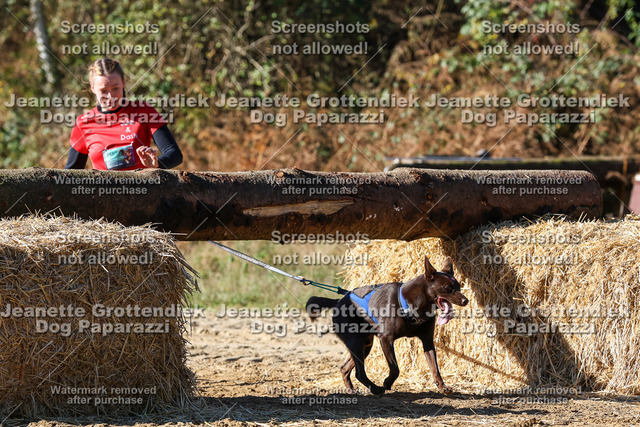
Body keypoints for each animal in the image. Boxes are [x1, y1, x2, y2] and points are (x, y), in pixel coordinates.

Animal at [306, 255, 468, 395]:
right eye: (448, 288)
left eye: (459, 286)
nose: (465, 300)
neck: (413, 304)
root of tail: (338, 302)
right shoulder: (385, 338)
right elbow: (395, 368)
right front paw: (387, 383)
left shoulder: (427, 340)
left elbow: (435, 367)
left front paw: (442, 386)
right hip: (355, 341)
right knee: (359, 372)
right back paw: (375, 389)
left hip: (365, 344)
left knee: (345, 368)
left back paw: (352, 391)